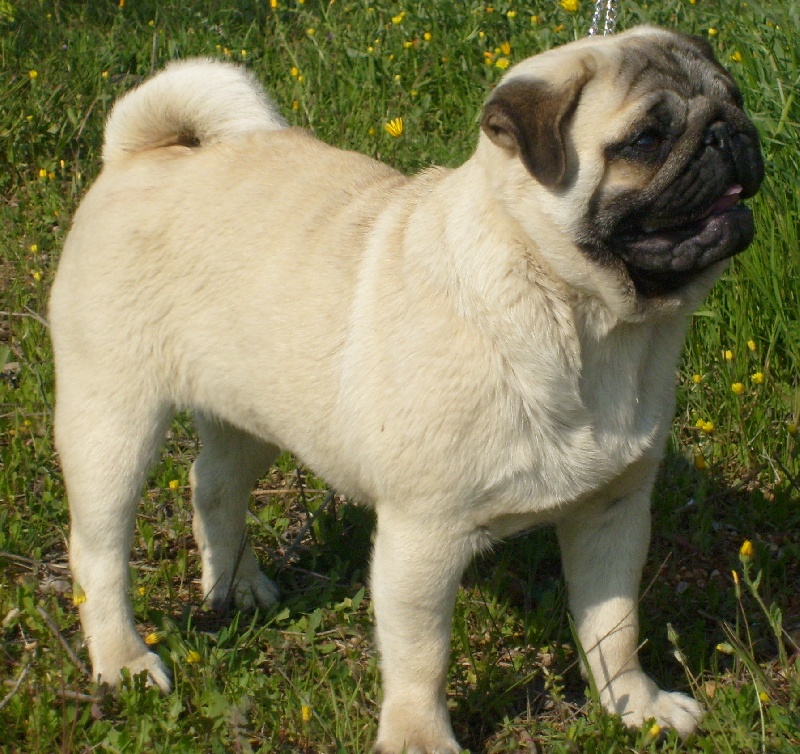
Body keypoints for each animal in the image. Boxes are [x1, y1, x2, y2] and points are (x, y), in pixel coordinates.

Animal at [50, 26, 763, 752]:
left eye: (734, 99)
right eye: (645, 139)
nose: (727, 133)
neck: (587, 319)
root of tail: (139, 155)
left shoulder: (612, 512)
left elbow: (614, 627)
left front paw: (633, 704)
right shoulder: (424, 535)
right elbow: (422, 657)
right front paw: (420, 738)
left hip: (252, 414)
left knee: (214, 486)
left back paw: (238, 586)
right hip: (111, 419)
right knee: (98, 552)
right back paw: (124, 661)